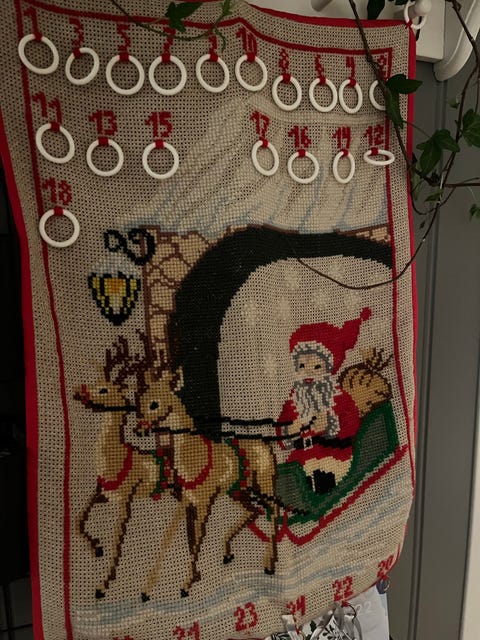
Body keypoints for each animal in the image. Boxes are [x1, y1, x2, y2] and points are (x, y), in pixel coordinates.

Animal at [74, 336, 162, 599]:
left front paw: (104, 585)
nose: (79, 392)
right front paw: (96, 547)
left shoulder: (125, 502)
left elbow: (117, 542)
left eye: (104, 389)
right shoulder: (102, 493)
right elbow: (80, 519)